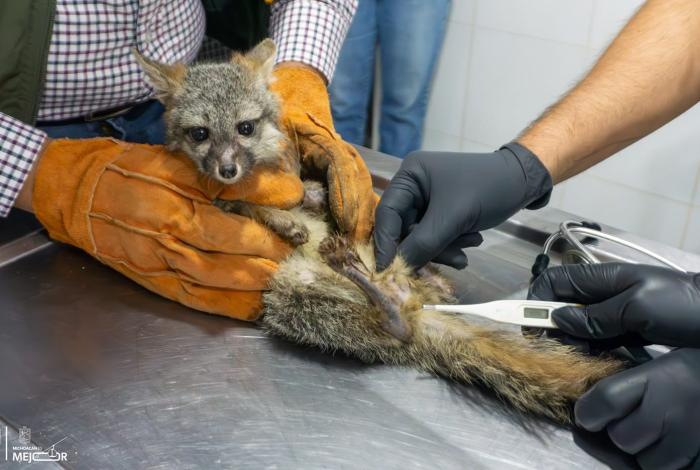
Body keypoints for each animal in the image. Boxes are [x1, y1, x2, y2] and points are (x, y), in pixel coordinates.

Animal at [134, 39, 623, 424]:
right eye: (200, 134)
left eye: (245, 128)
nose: (227, 169)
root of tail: (417, 306)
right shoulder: (223, 202)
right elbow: (244, 204)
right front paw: (278, 215)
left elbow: (304, 195)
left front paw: (309, 198)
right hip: (288, 294)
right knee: (396, 328)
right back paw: (371, 288)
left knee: (405, 311)